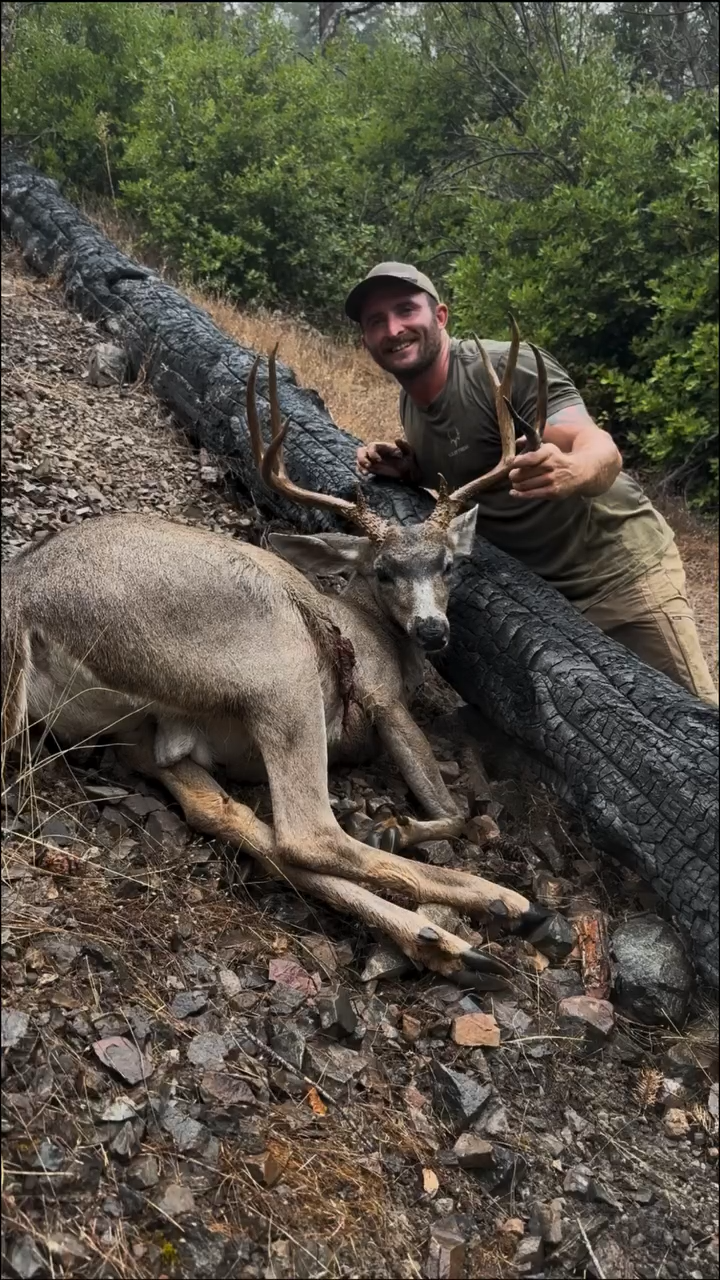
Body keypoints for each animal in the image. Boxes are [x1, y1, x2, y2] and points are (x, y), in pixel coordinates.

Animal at [1, 321, 550, 989]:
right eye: (385, 571)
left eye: (448, 564)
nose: (432, 631)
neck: (370, 624)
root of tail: (23, 597)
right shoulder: (382, 697)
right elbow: (455, 809)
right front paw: (405, 828)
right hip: (279, 664)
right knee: (306, 830)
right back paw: (501, 901)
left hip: (135, 733)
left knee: (228, 816)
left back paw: (445, 944)